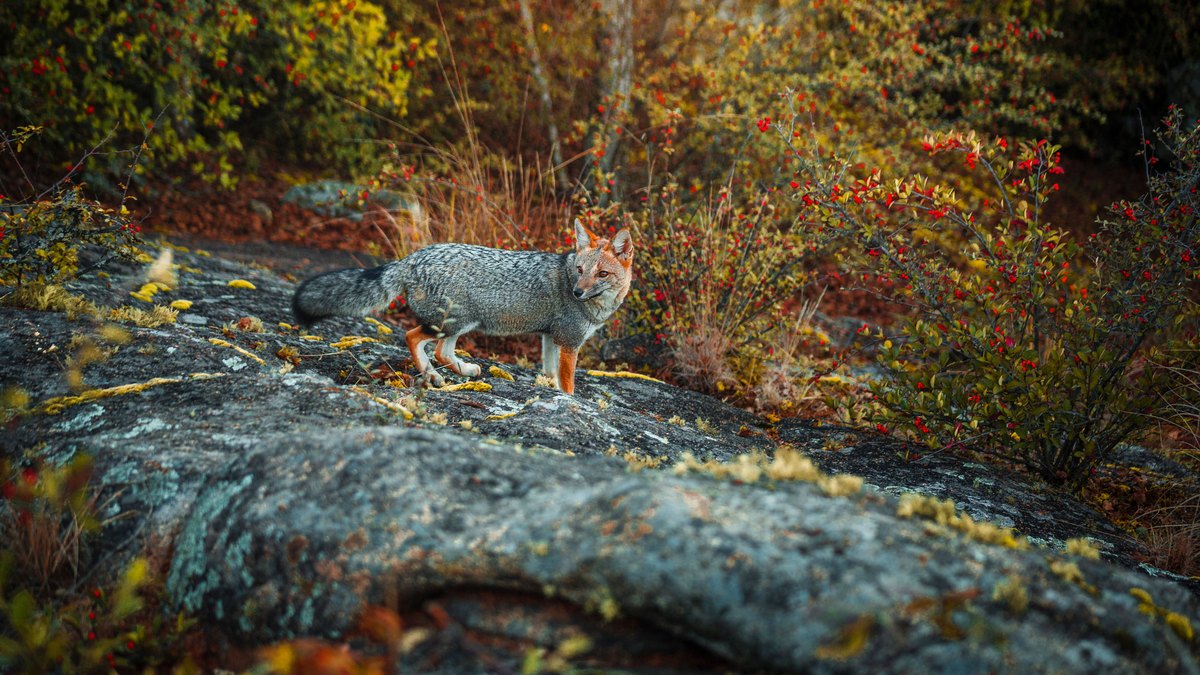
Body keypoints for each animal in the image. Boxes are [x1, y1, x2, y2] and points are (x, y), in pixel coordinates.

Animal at [291, 220, 634, 395]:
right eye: (579, 270)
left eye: (601, 274)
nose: (577, 292)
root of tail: (412, 258)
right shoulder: (569, 342)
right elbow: (569, 385)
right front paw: (569, 402)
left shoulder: (551, 338)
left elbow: (550, 375)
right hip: (457, 323)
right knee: (414, 338)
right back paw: (433, 375)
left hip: (461, 325)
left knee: (441, 351)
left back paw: (458, 371)